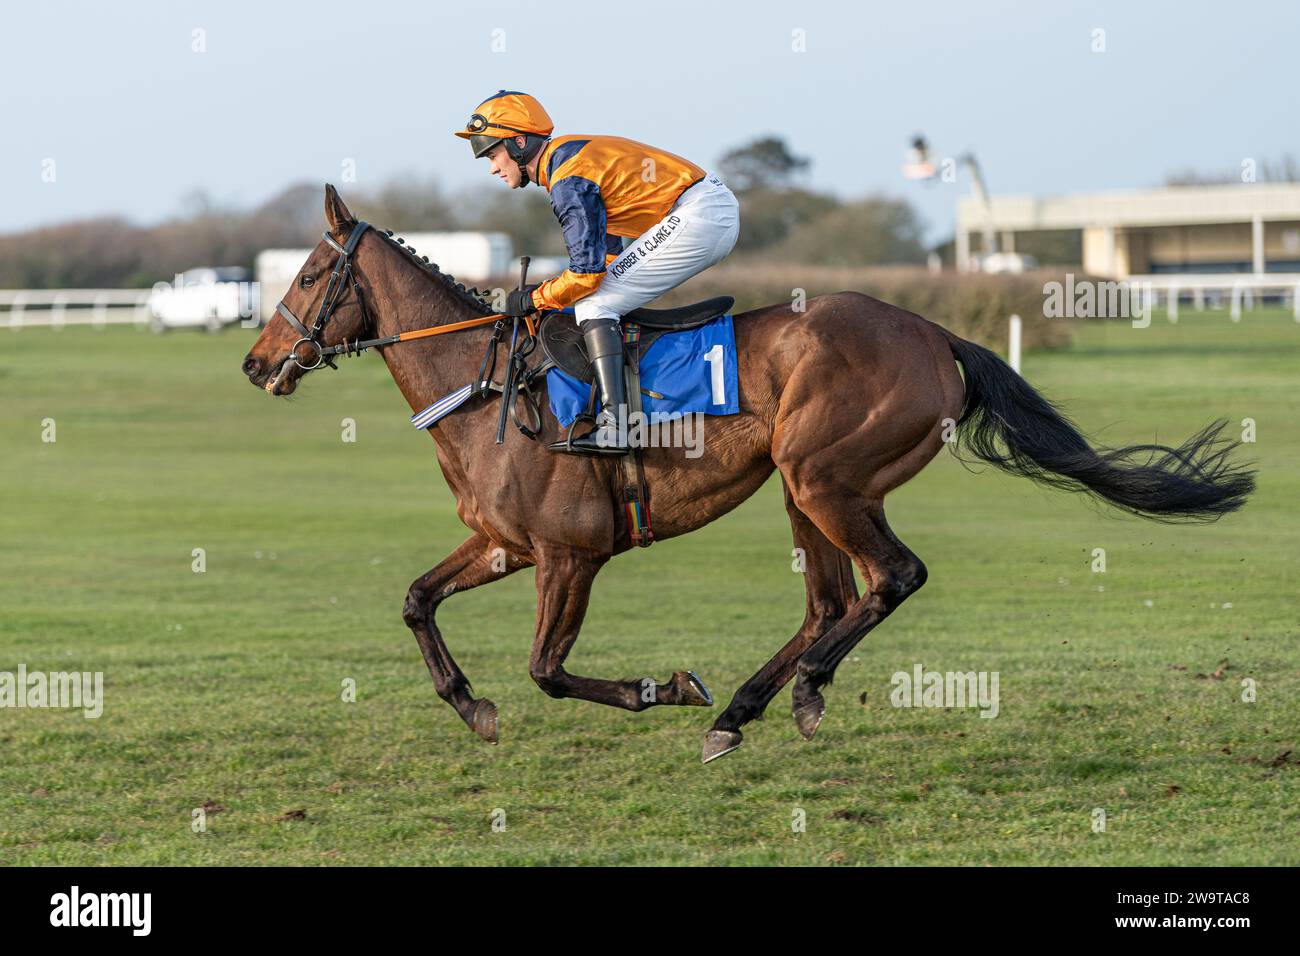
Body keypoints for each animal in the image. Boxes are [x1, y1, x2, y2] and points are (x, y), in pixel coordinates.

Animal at [244, 188, 1258, 764]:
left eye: (308, 277)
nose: (256, 366)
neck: (486, 383)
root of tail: (937, 332)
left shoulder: (570, 555)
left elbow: (547, 669)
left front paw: (662, 688)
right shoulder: (504, 546)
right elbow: (418, 600)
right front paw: (471, 707)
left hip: (825, 478)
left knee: (892, 579)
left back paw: (782, 691)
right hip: (805, 487)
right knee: (832, 600)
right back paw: (754, 705)